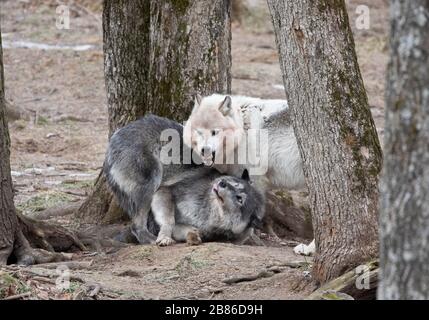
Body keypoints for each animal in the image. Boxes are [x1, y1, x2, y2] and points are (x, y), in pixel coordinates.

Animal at [104, 115, 264, 245]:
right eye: (231, 182)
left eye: (240, 199)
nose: (222, 183)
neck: (208, 215)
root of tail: (115, 137)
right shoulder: (165, 191)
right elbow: (169, 221)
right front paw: (164, 238)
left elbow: (191, 230)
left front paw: (193, 236)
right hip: (151, 182)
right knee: (136, 225)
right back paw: (149, 239)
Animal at [183, 94, 314, 256]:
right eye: (199, 132)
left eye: (214, 132)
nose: (205, 150)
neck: (242, 129)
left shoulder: (255, 179)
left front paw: (243, 238)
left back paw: (308, 249)